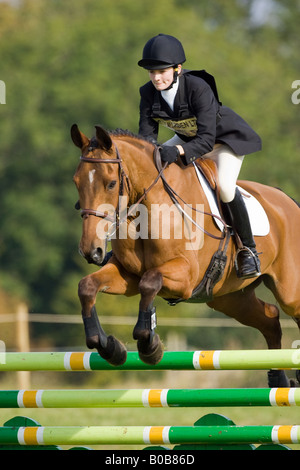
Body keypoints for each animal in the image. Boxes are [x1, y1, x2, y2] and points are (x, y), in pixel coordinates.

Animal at [71, 124, 300, 386]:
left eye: (110, 184)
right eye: (76, 182)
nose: (91, 250)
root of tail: (288, 200)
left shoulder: (186, 277)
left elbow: (150, 281)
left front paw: (150, 346)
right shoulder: (128, 275)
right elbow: (87, 286)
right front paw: (109, 348)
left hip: (289, 293)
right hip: (229, 298)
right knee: (270, 319)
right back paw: (279, 380)